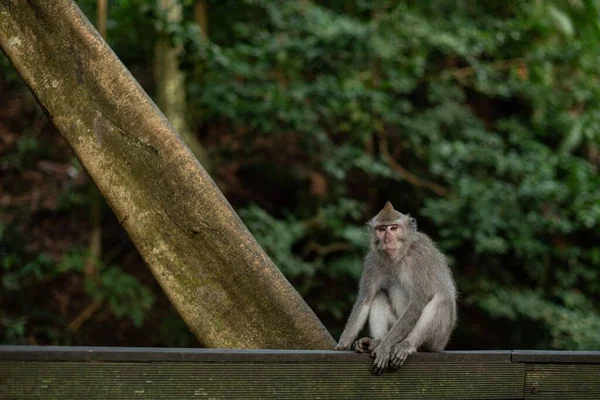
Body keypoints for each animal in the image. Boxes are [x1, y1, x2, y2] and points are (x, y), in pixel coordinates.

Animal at [332, 203, 454, 376]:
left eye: (394, 228)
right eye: (382, 229)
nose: (386, 239)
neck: (400, 256)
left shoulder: (420, 257)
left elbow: (417, 303)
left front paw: (384, 348)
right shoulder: (373, 260)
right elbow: (366, 299)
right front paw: (343, 343)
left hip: (438, 339)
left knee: (441, 300)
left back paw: (406, 345)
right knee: (379, 295)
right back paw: (377, 341)